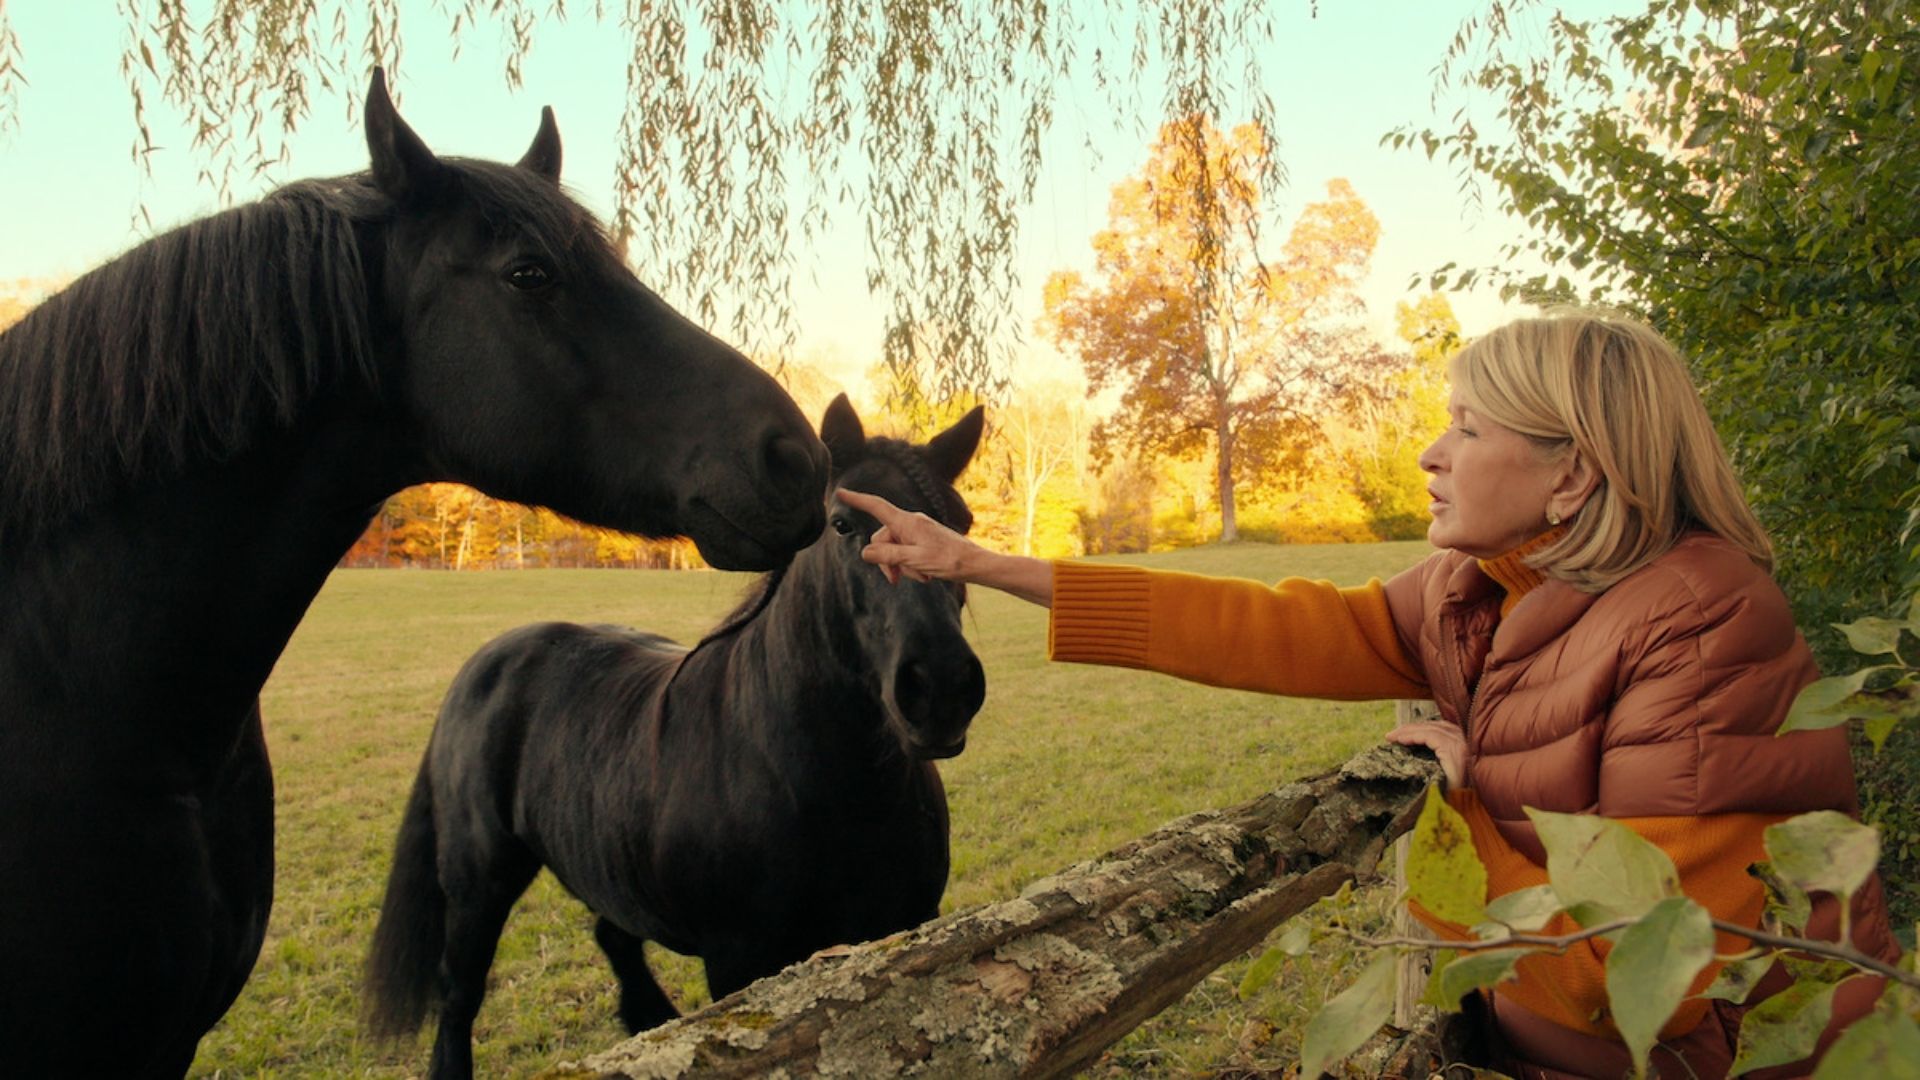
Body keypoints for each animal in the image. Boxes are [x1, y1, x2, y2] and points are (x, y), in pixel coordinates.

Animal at [362, 395, 990, 1076]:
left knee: (612, 934)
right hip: (479, 881)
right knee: (460, 995)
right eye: (843, 524)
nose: (941, 686)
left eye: (960, 525)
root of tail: (487, 660)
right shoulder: (741, 963)